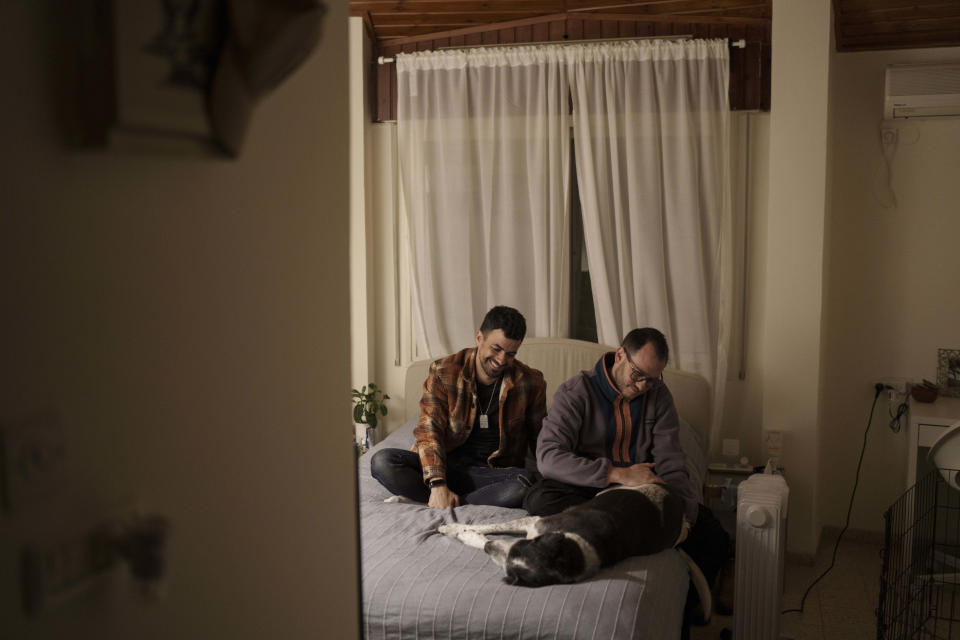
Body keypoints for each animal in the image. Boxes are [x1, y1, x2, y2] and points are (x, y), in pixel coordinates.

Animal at [438, 484, 708, 616]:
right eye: (521, 546)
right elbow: (490, 526)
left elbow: (481, 535)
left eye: (512, 574)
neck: (576, 549)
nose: (490, 548)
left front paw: (462, 533)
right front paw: (451, 527)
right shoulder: (533, 523)